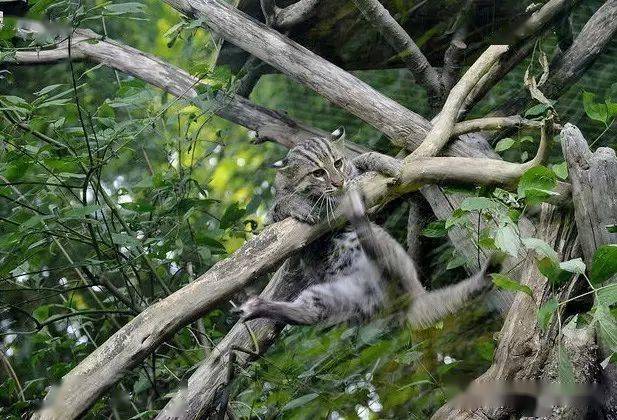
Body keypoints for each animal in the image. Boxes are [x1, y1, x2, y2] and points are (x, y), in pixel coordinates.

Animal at [238, 128, 494, 328]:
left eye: (337, 163)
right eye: (318, 173)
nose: (338, 182)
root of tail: (411, 302)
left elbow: (365, 161)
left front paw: (384, 162)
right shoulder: (278, 231)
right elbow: (278, 209)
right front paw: (297, 204)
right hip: (329, 297)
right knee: (310, 314)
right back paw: (257, 308)